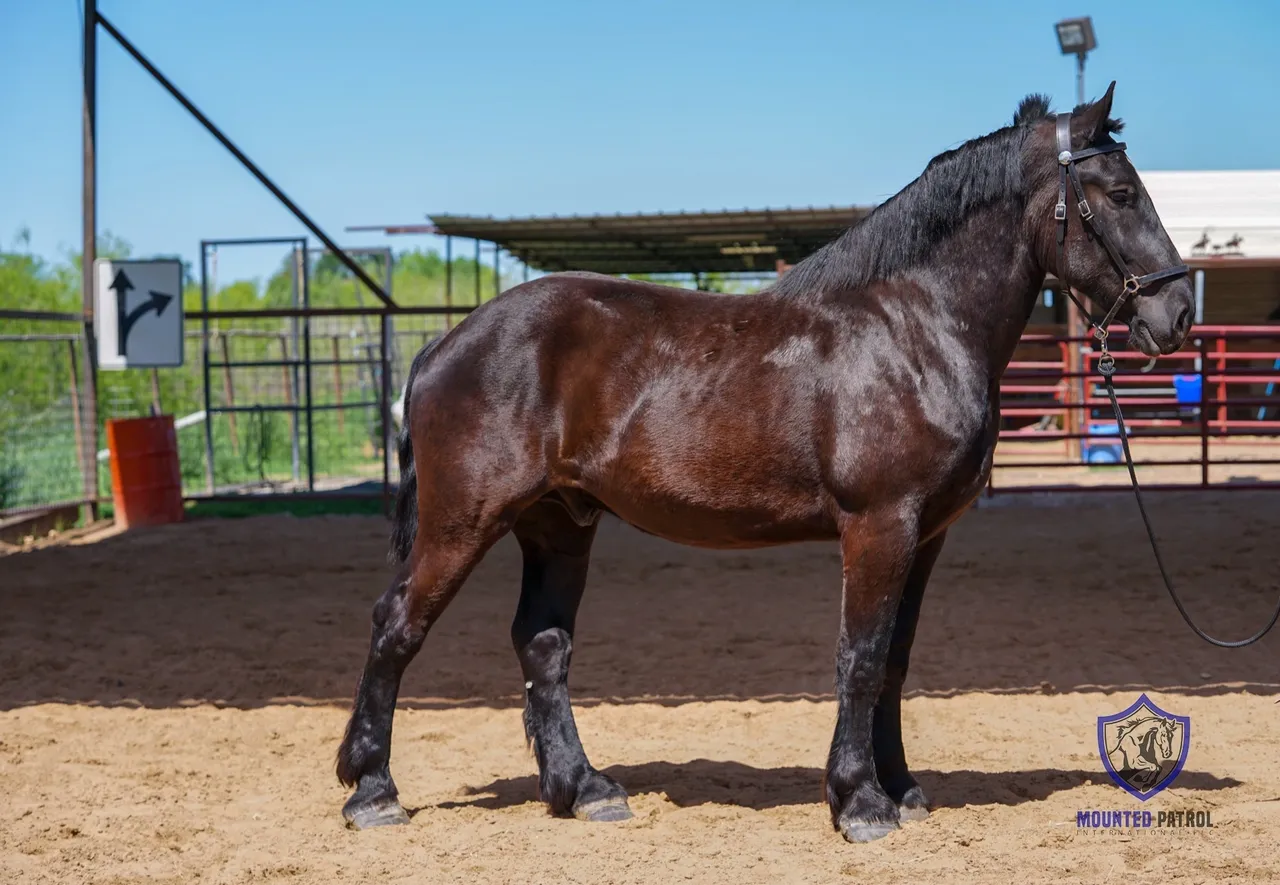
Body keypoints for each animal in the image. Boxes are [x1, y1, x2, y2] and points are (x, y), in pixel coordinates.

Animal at [335, 82, 1194, 843]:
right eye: (1121, 193)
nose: (1177, 313)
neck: (914, 327)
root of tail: (445, 343)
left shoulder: (927, 535)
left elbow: (895, 658)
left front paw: (900, 788)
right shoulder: (880, 526)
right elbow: (861, 654)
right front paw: (860, 802)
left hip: (559, 523)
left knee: (543, 644)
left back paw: (584, 789)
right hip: (464, 520)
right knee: (397, 624)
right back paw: (373, 790)